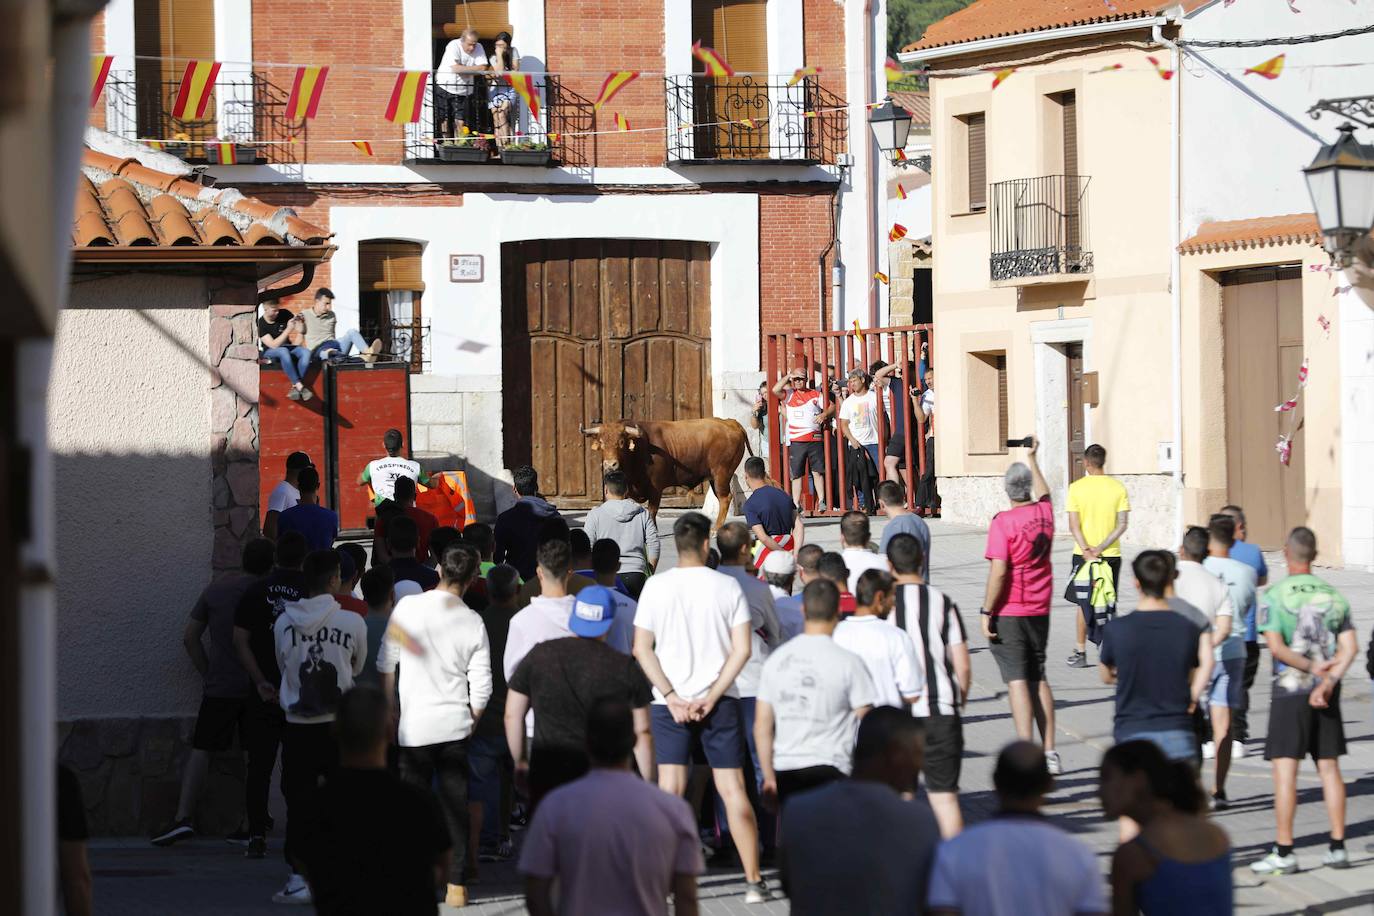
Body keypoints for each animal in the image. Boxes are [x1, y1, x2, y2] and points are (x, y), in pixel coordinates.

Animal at [579, 417, 752, 530]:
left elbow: (652, 512)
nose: (610, 464)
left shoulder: (656, 489)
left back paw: (716, 529)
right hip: (713, 477)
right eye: (601, 443)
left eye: (621, 442)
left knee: (725, 498)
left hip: (721, 474)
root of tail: (729, 422)